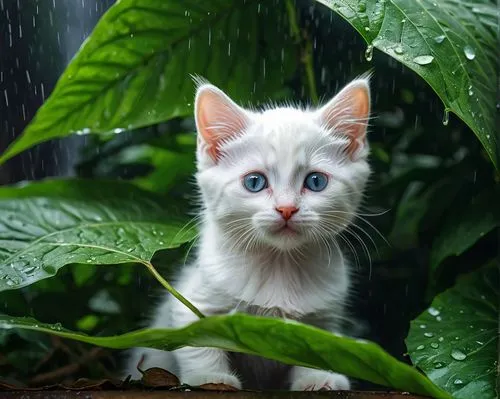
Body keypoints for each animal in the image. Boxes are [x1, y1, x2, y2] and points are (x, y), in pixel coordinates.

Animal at [125, 77, 372, 390]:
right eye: (255, 182)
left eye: (316, 181)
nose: (287, 208)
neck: (279, 267)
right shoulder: (194, 302)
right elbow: (199, 342)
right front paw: (210, 378)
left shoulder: (323, 317)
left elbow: (316, 345)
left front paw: (317, 377)